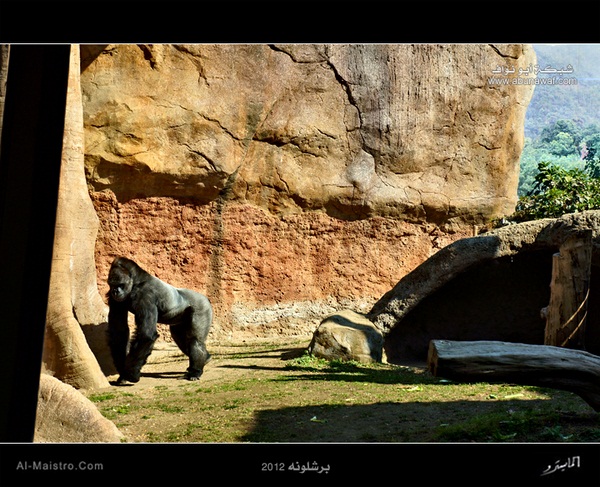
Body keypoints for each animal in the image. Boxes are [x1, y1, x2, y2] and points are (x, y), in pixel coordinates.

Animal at [108, 258, 213, 386]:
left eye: (120, 284)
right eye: (112, 284)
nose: (115, 291)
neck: (137, 281)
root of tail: (206, 298)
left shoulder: (144, 295)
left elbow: (146, 335)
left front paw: (130, 373)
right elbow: (119, 332)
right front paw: (123, 372)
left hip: (202, 306)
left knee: (194, 340)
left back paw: (195, 372)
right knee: (182, 340)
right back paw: (205, 359)